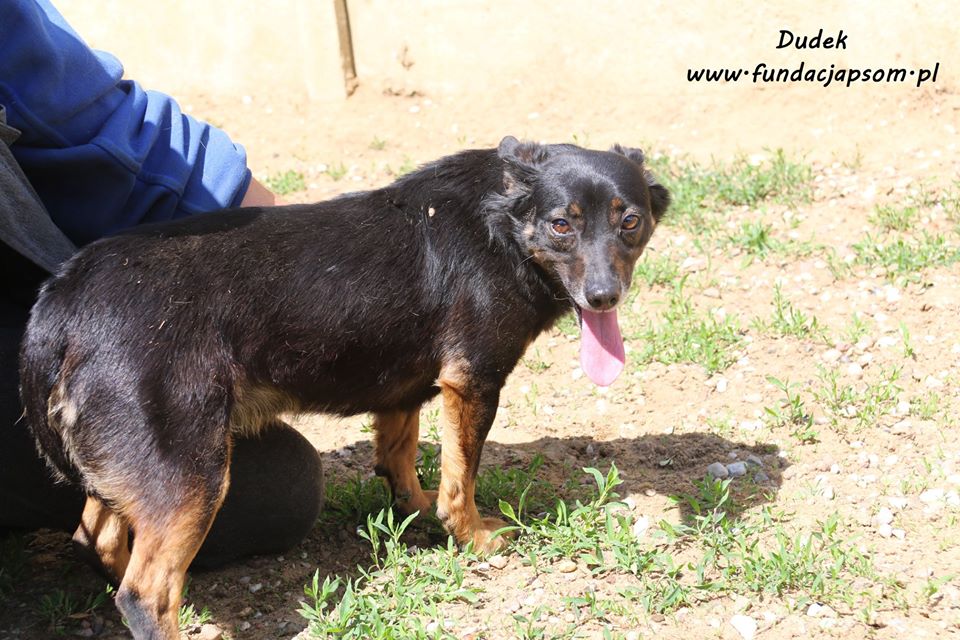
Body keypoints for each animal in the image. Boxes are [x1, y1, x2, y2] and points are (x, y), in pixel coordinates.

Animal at [19, 136, 669, 639]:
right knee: (145, 592)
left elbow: (400, 458)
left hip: (135, 464)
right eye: (561, 226)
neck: (503, 223)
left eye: (629, 221)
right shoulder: (473, 380)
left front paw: (415, 515)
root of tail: (61, 302)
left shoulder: (405, 390)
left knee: (100, 539)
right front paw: (473, 538)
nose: (604, 298)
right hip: (191, 473)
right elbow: (461, 478)